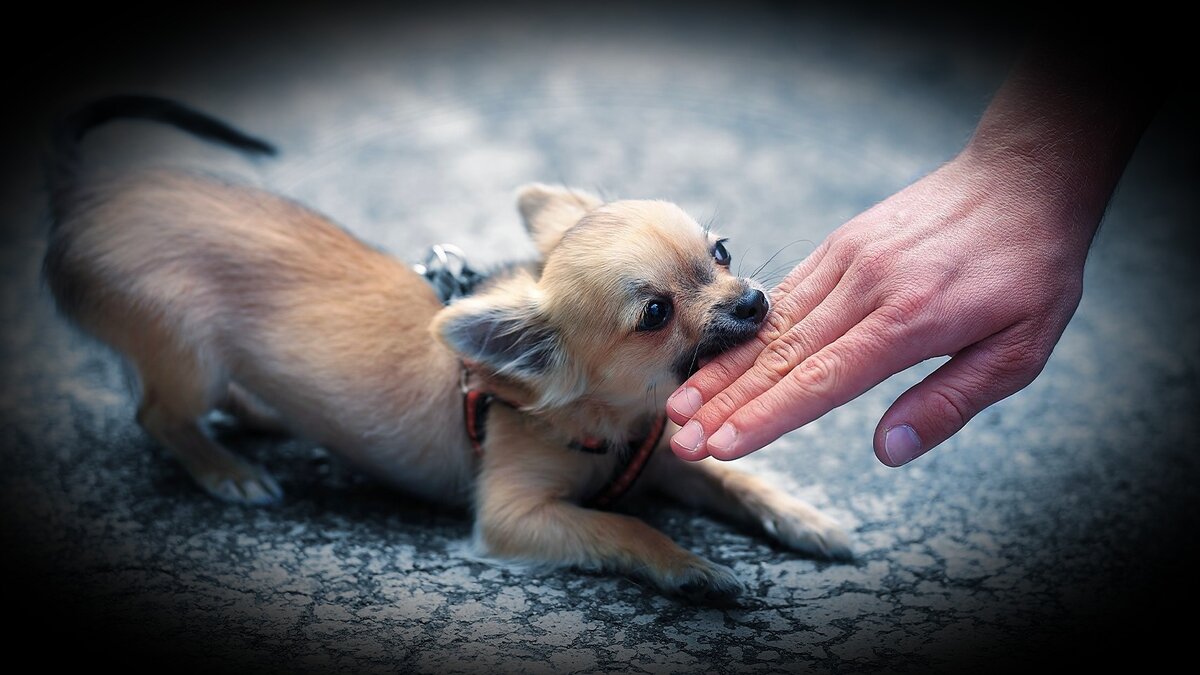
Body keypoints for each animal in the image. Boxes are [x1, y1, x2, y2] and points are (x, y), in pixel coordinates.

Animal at [44, 96, 854, 598]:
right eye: (655, 313)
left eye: (722, 251)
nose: (753, 301)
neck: (613, 421)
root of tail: (90, 200)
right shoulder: (516, 517)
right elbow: (625, 524)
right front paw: (692, 567)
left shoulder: (660, 460)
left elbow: (735, 480)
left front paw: (808, 519)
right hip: (191, 357)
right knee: (157, 413)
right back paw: (226, 469)